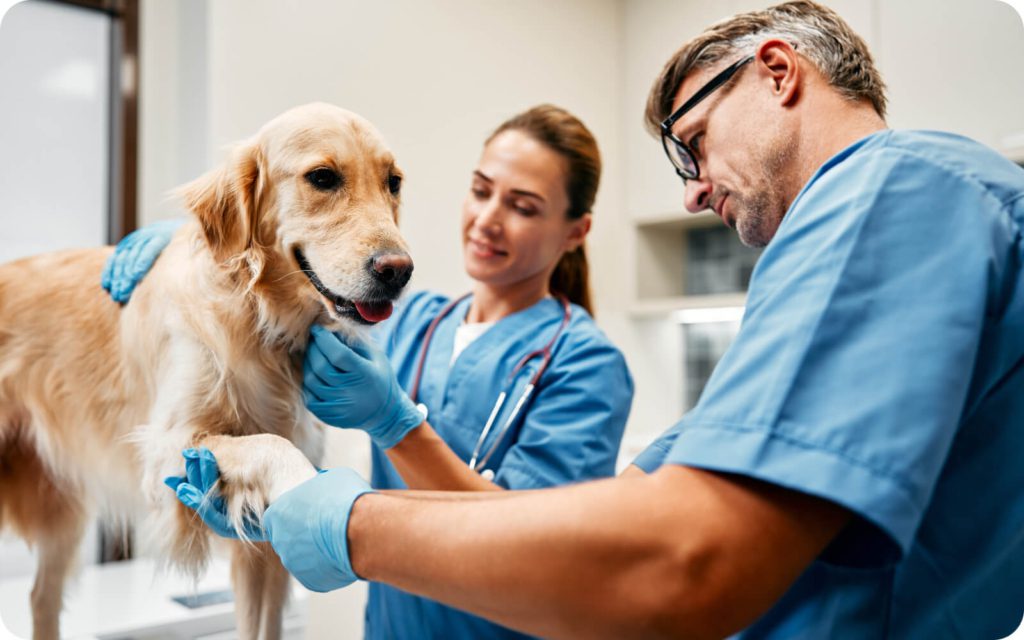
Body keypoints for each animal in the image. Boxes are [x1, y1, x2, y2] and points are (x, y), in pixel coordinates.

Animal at [0, 103, 411, 638]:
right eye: (322, 177)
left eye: (394, 182)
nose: (399, 271)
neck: (264, 321)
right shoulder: (167, 444)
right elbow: (268, 444)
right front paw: (311, 492)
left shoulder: (262, 553)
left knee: (41, 597)